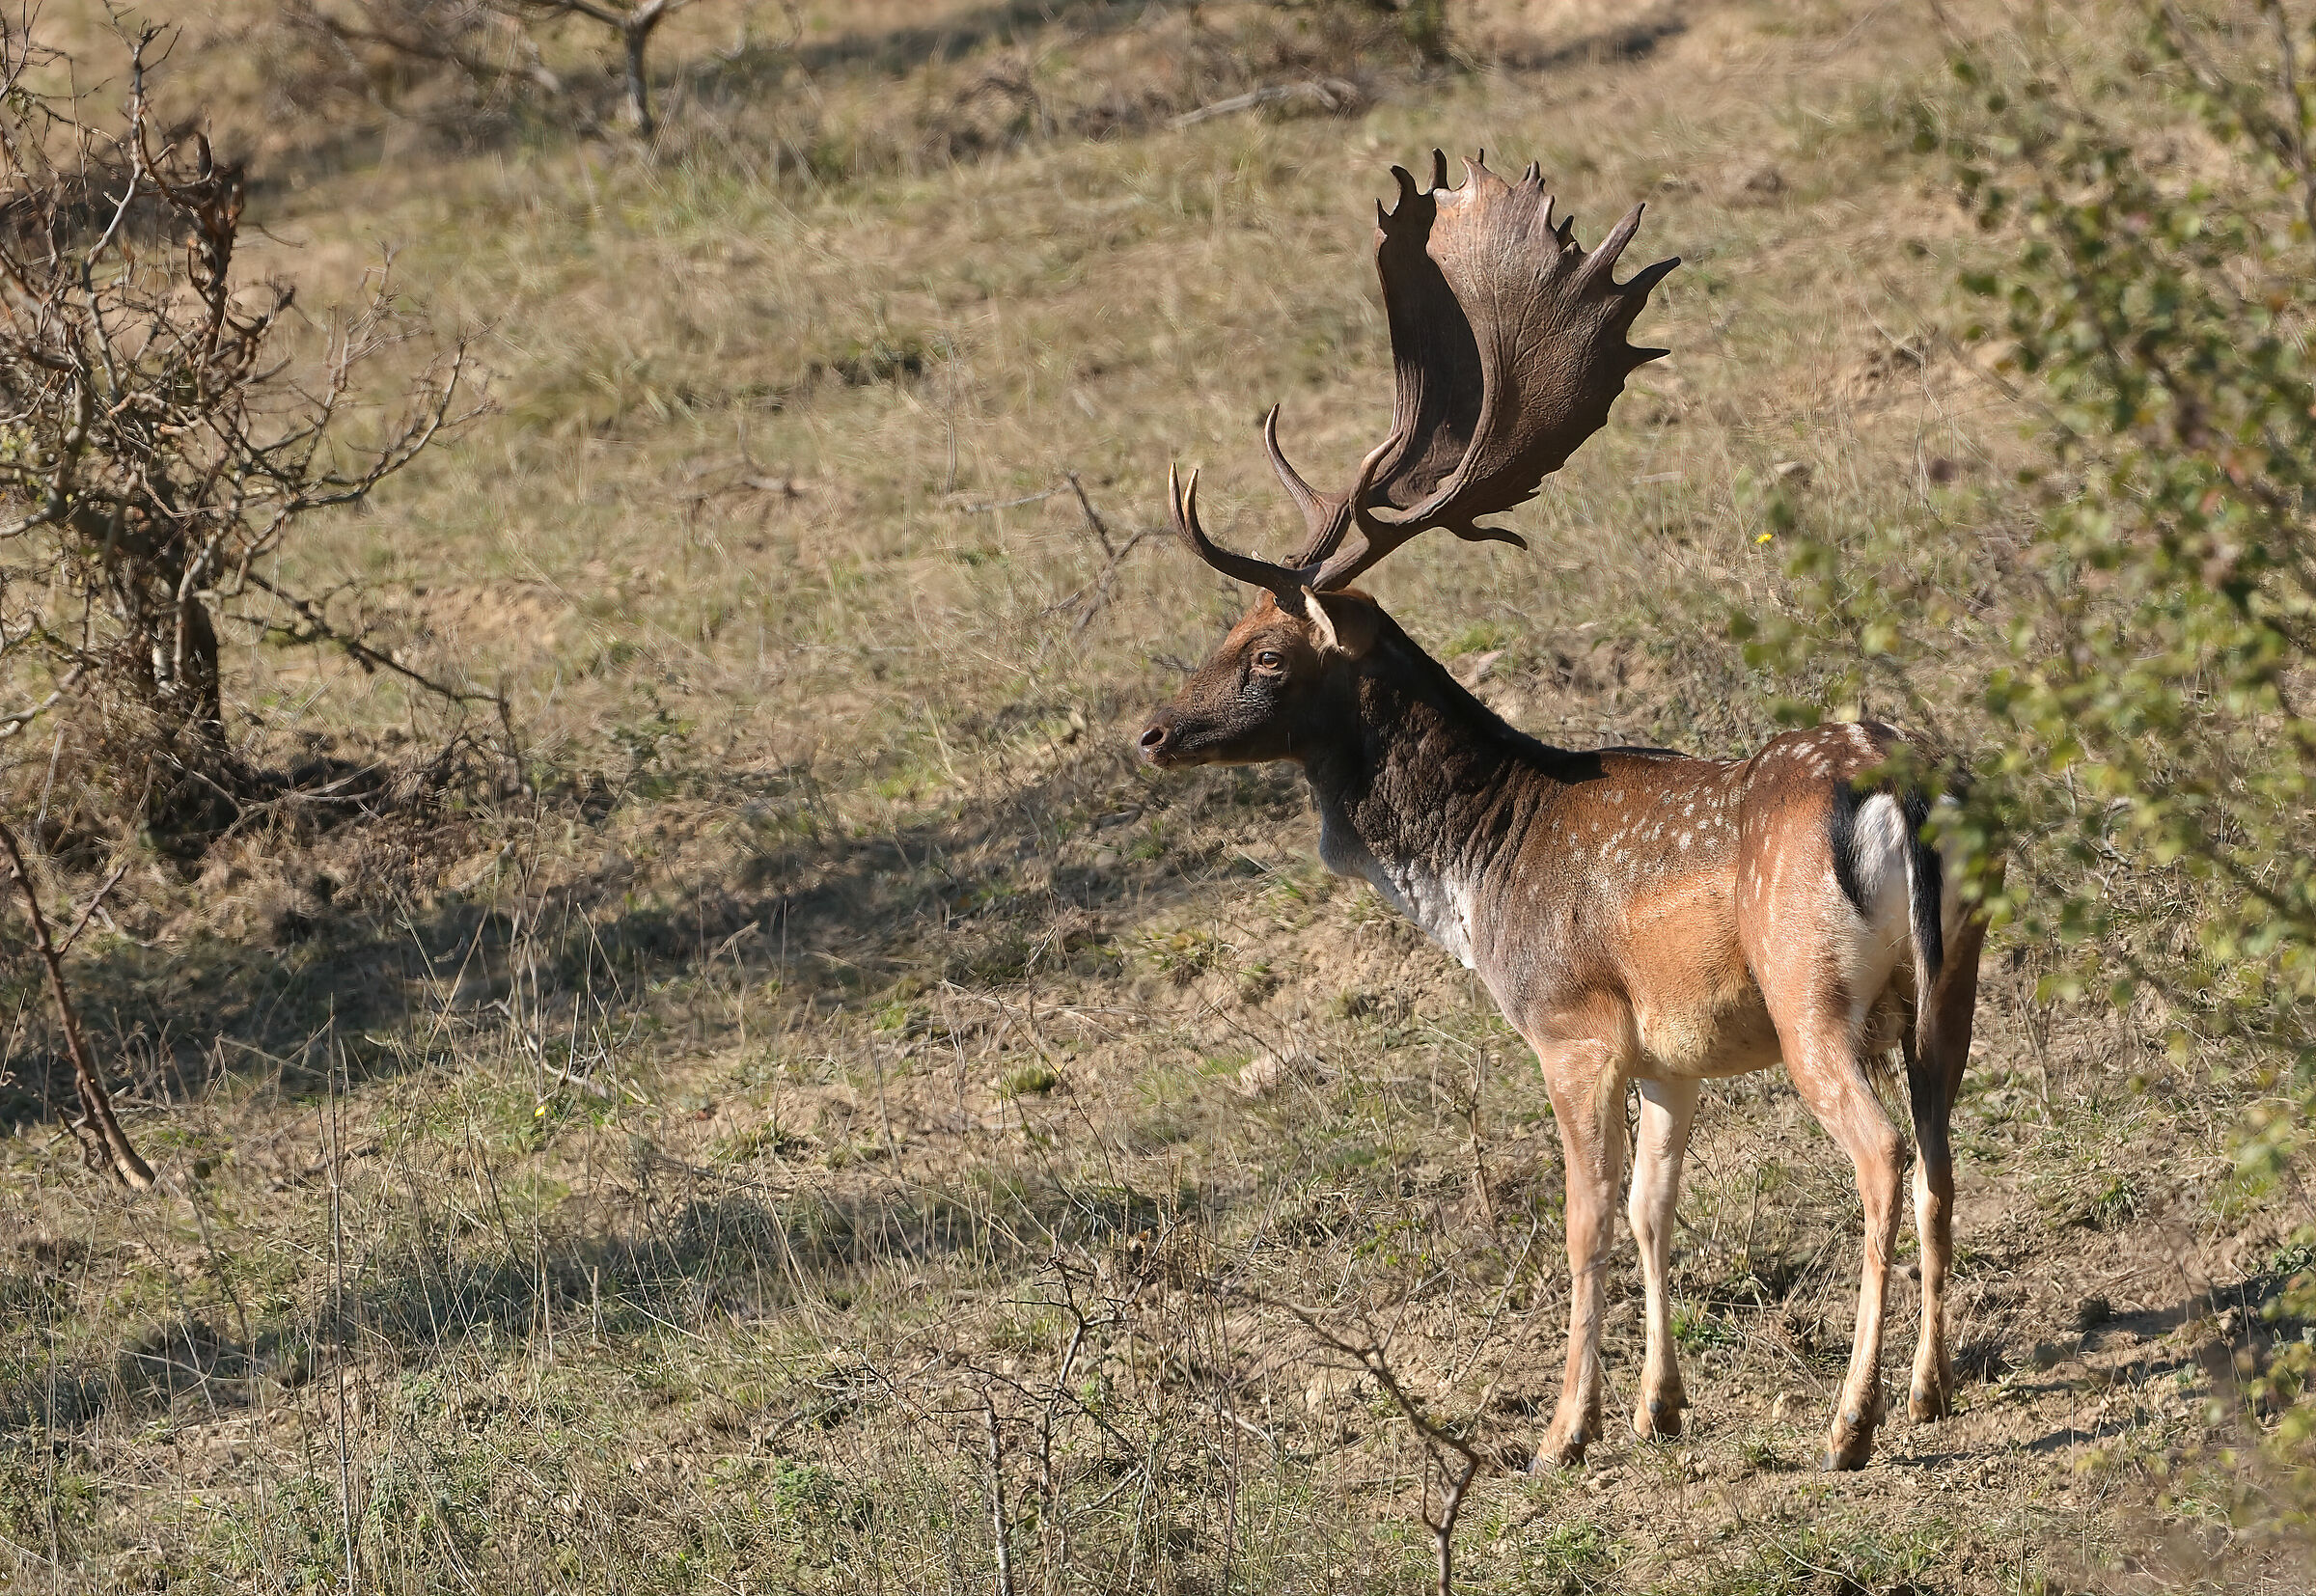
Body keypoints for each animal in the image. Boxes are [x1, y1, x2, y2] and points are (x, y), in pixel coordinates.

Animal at [1135, 152, 1992, 1473]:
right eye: (1224, 633)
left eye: (1270, 654)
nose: (1154, 732)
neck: (1486, 863)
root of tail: (1895, 785)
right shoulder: (1671, 1054)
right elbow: (1652, 1212)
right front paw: (1658, 1408)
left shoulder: (1572, 1023)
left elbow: (1585, 1223)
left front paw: (1563, 1430)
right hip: (1952, 989)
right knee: (1946, 1153)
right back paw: (1927, 1390)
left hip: (1811, 990)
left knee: (1885, 1154)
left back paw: (1849, 1422)